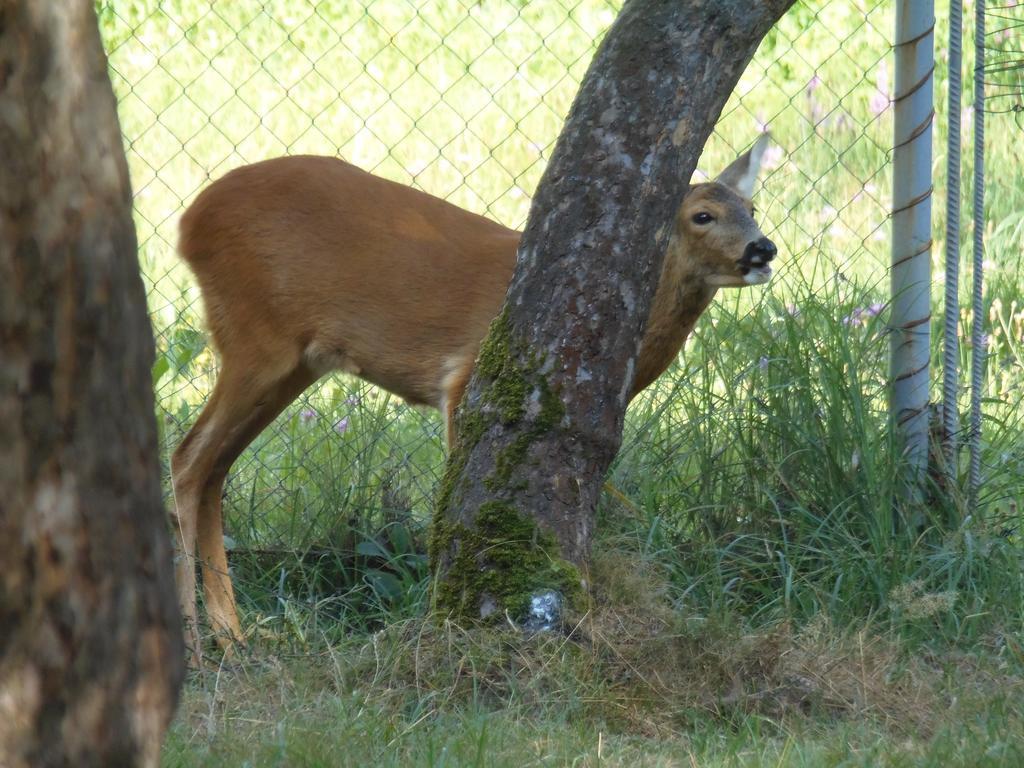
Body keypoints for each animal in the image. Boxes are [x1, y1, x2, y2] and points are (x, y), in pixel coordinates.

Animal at [172, 135, 770, 663]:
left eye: (753, 208)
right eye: (702, 215)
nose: (763, 247)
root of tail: (187, 222)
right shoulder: (466, 381)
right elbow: (452, 506)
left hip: (293, 360)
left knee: (215, 466)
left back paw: (234, 640)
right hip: (255, 337)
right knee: (188, 458)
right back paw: (196, 648)